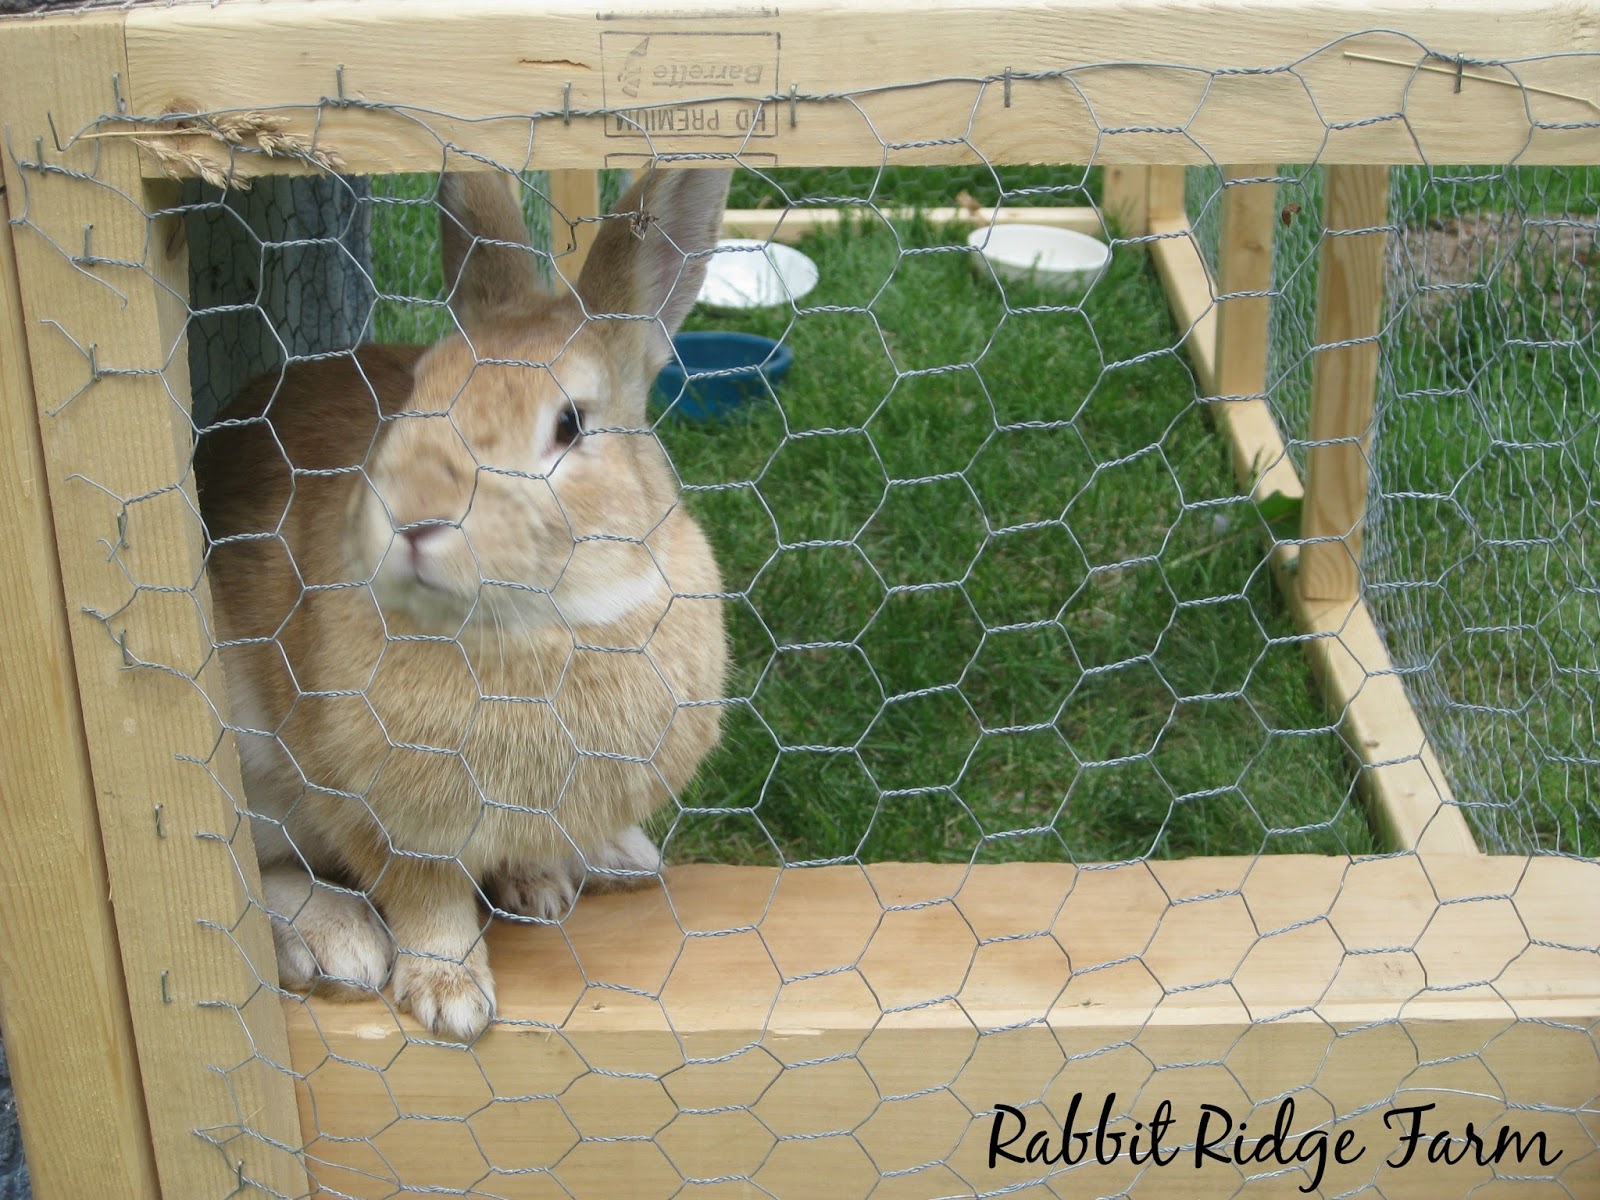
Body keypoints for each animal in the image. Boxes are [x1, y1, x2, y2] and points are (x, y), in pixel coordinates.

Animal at [195, 166, 732, 1040]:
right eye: (417, 388)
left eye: (570, 424)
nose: (415, 514)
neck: (537, 626)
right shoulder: (376, 813)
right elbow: (425, 900)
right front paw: (451, 1002)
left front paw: (538, 887)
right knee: (252, 866)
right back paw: (335, 941)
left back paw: (621, 859)